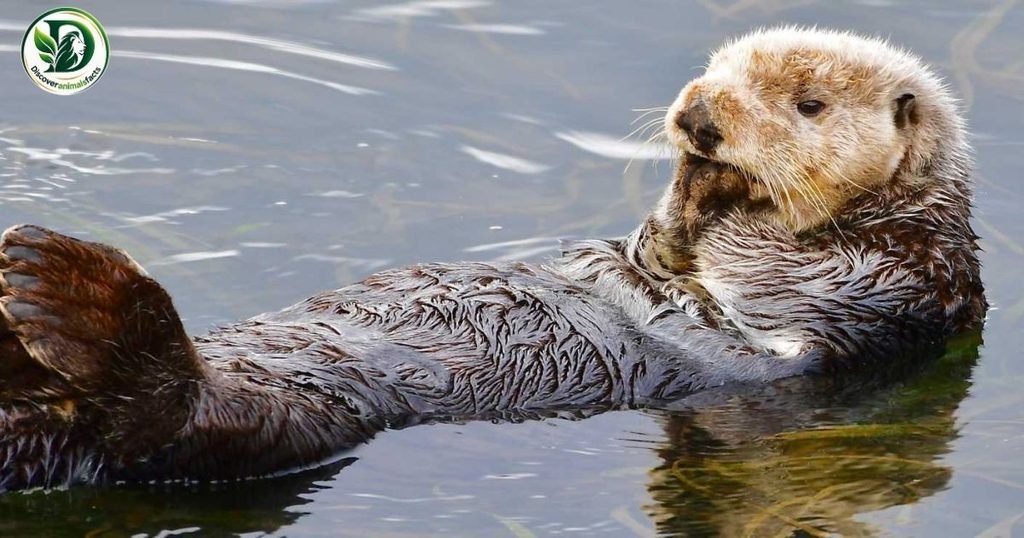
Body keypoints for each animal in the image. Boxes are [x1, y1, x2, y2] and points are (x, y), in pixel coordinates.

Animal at [0, 28, 984, 491]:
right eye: (718, 66)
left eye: (809, 103)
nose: (699, 112)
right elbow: (657, 248)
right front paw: (683, 188)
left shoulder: (894, 281)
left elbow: (769, 267)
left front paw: (715, 189)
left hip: (282, 427)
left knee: (173, 418)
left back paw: (57, 286)